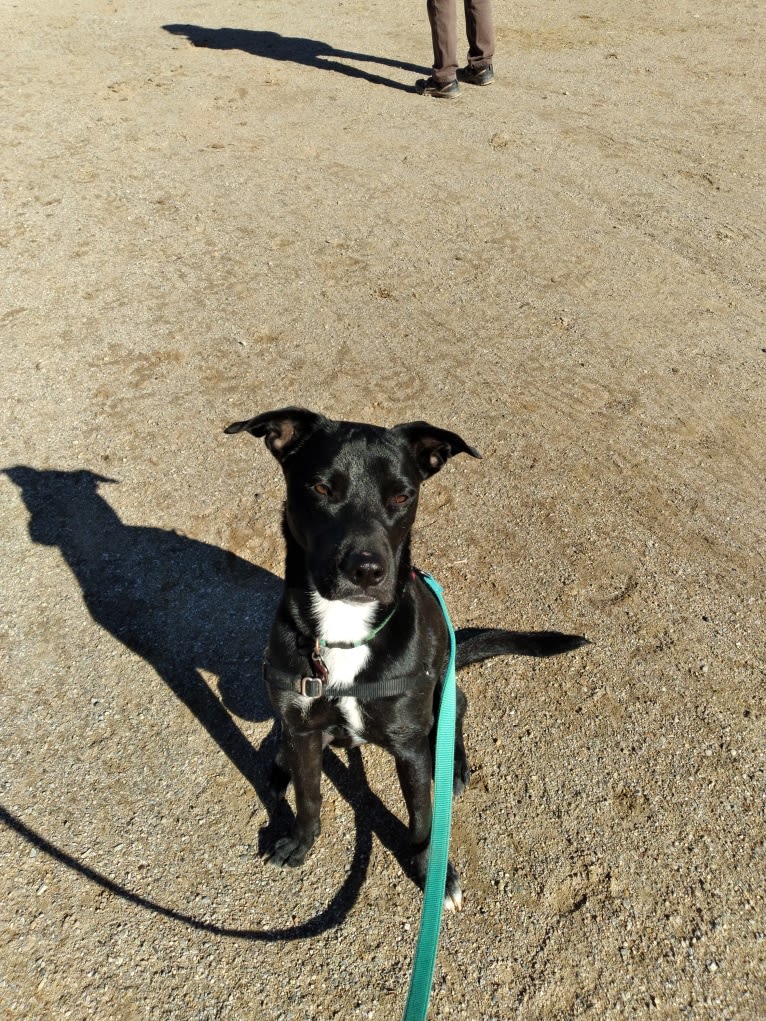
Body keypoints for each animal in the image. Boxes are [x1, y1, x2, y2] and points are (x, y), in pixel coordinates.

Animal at [226, 406, 588, 910]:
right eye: (320, 488)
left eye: (402, 495)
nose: (366, 570)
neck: (344, 633)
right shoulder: (304, 727)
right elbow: (309, 796)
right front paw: (300, 841)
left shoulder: (410, 748)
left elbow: (422, 820)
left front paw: (432, 872)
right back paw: (279, 768)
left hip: (441, 689)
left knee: (458, 709)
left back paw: (454, 764)